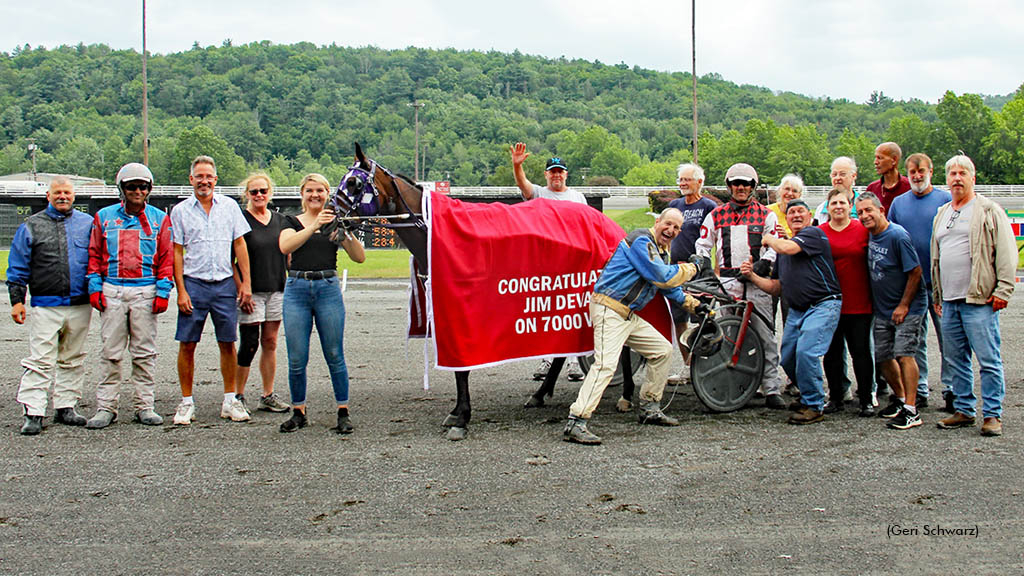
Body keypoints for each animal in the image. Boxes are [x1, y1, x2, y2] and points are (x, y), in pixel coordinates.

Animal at [333, 143, 638, 438]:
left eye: (354, 183)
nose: (333, 217)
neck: (434, 232)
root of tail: (612, 228)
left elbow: (462, 367)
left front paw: (461, 417)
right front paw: (458, 412)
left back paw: (626, 395)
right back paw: (541, 394)